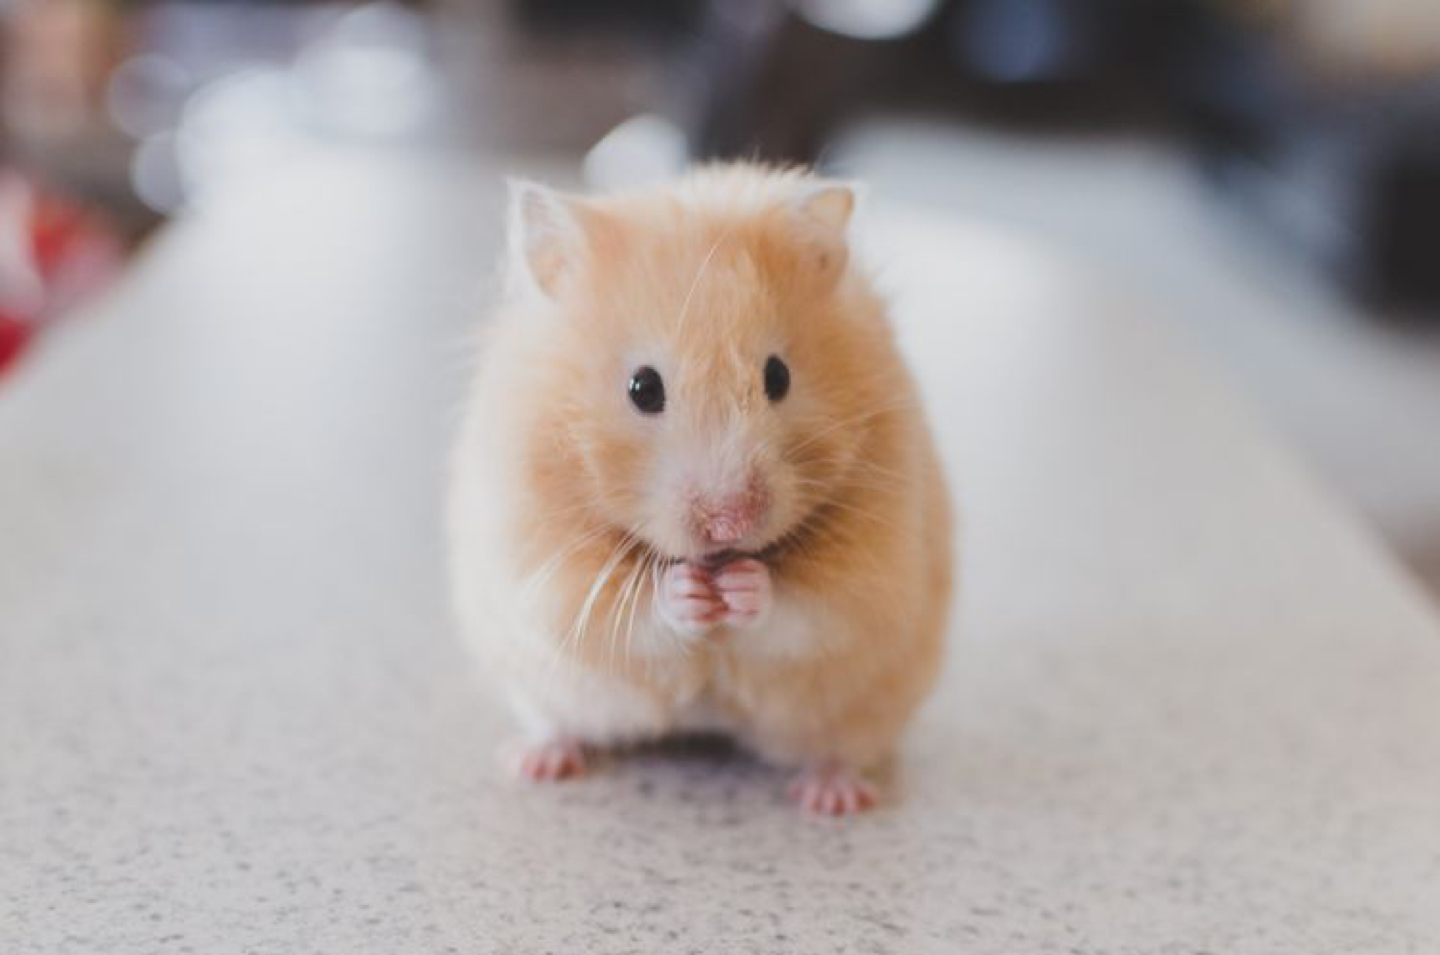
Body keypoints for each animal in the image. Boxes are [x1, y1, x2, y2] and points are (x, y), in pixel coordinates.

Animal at [448, 163, 953, 815]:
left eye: (778, 376)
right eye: (642, 388)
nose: (730, 523)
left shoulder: (873, 569)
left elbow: (807, 609)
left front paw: (742, 587)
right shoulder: (542, 565)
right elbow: (627, 610)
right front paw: (688, 592)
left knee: (838, 748)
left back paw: (832, 798)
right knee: (557, 722)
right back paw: (535, 762)